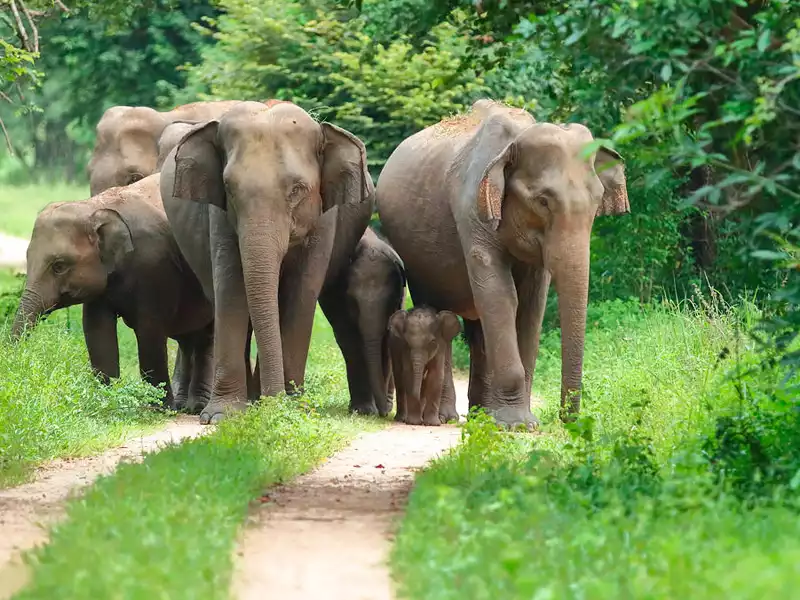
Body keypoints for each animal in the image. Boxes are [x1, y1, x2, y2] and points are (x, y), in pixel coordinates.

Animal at [12, 175, 214, 412]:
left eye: (59, 266)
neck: (93, 208)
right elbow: (96, 329)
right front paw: (104, 402)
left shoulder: (155, 266)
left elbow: (149, 330)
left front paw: (159, 408)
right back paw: (186, 406)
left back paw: (197, 407)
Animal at [163, 101, 378, 424]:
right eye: (229, 187)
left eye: (297, 190)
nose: (274, 404)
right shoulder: (220, 218)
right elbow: (230, 290)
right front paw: (222, 416)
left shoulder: (323, 220)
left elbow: (299, 297)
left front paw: (291, 409)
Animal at [376, 99, 632, 426]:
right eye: (543, 201)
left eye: (598, 201)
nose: (568, 419)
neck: (515, 140)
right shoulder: (471, 210)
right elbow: (501, 296)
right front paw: (516, 425)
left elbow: (532, 303)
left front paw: (523, 422)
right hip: (416, 260)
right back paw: (448, 417)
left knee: (477, 330)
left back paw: (481, 415)